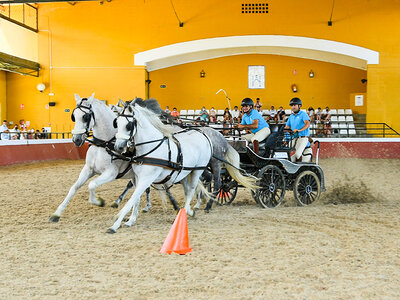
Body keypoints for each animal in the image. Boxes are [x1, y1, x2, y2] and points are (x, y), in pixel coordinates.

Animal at [106, 102, 212, 233]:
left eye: (128, 125)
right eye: (116, 123)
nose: (118, 147)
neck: (150, 148)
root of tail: (201, 133)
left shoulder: (146, 178)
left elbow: (132, 199)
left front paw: (115, 224)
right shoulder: (137, 177)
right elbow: (136, 199)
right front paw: (130, 221)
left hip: (198, 170)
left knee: (192, 189)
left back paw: (187, 211)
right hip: (184, 173)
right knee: (187, 190)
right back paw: (188, 211)